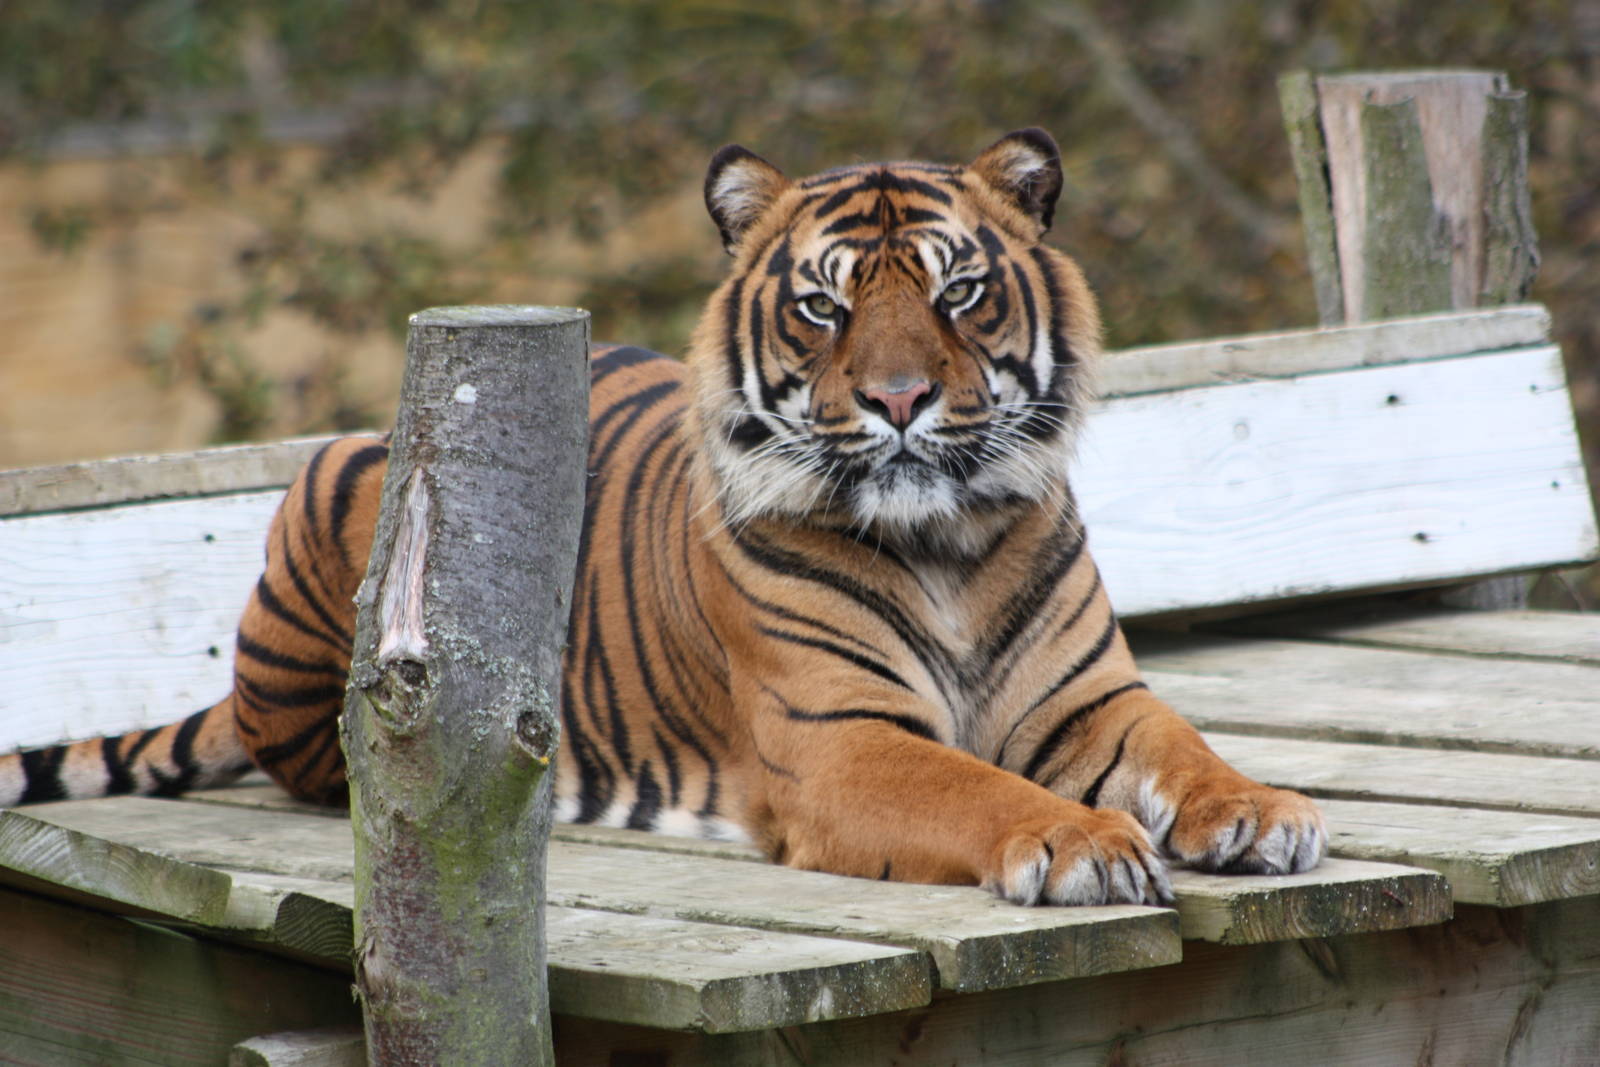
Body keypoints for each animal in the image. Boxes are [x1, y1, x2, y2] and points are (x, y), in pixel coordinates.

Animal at [1, 129, 1326, 906]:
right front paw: (1087, 840)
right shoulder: (840, 737)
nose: (899, 399)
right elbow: (976, 788)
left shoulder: (1090, 697)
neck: (943, 538)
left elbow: (1183, 745)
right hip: (332, 500)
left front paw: (1261, 812)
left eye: (957, 290)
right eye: (821, 307)